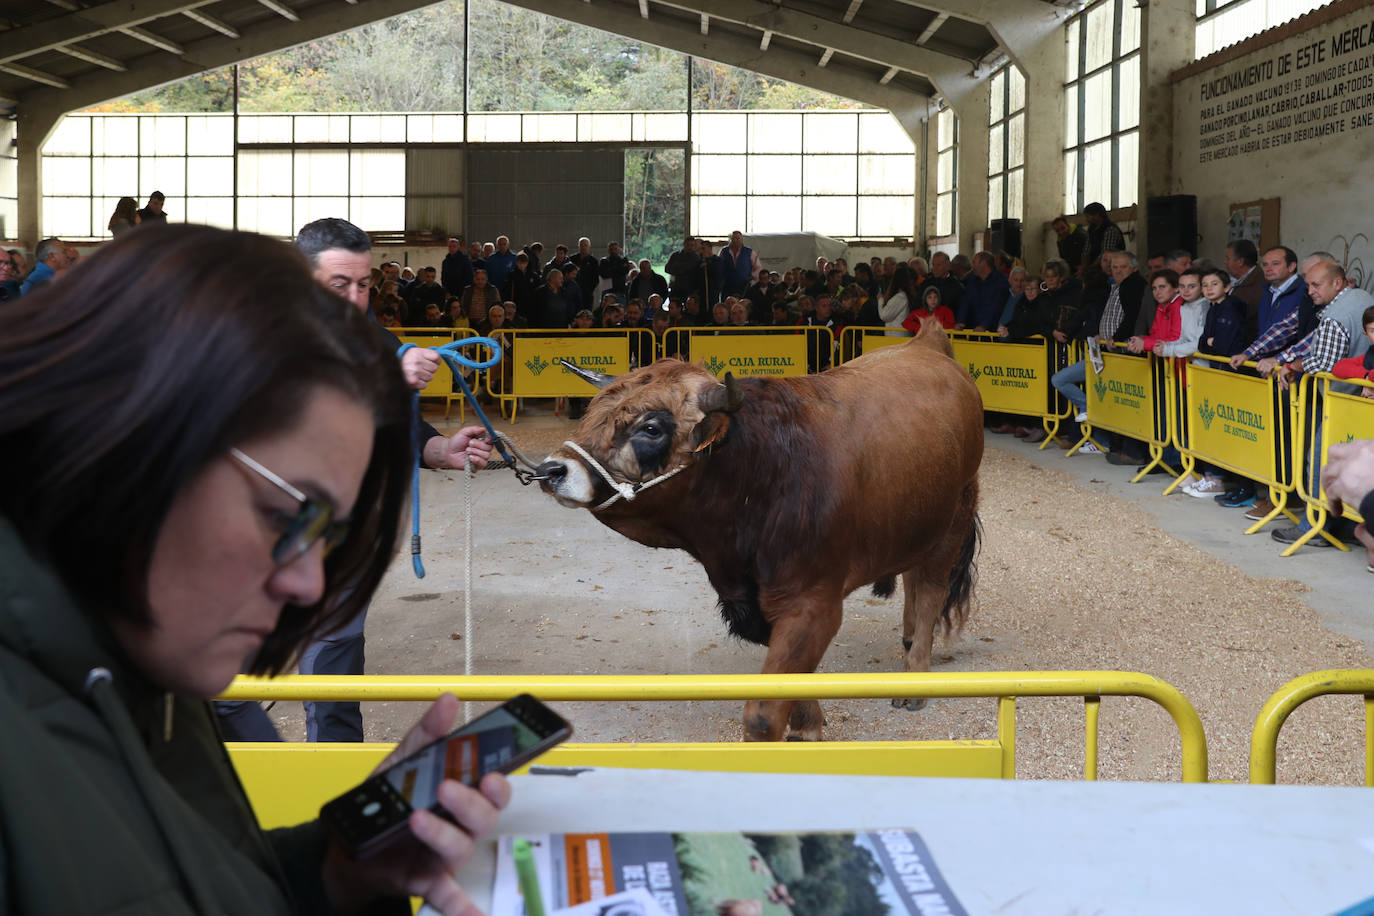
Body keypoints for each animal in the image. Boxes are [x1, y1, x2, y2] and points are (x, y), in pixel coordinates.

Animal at [530, 321, 983, 736]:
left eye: (651, 427)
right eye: (592, 412)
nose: (552, 470)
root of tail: (927, 343)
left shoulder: (812, 603)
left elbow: (763, 716)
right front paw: (808, 725)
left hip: (955, 516)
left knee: (930, 588)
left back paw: (915, 673)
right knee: (912, 574)